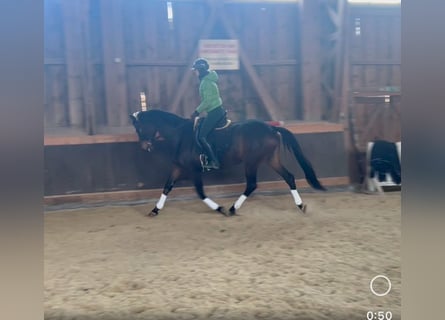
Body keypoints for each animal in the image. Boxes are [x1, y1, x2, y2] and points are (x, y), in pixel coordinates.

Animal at [129, 109, 326, 216]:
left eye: (139, 128)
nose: (144, 146)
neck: (180, 135)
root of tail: (271, 128)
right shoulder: (178, 167)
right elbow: (167, 187)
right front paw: (155, 210)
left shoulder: (194, 170)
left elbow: (200, 193)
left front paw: (219, 208)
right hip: (270, 159)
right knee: (289, 177)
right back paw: (300, 205)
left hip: (252, 162)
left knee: (252, 184)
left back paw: (232, 208)